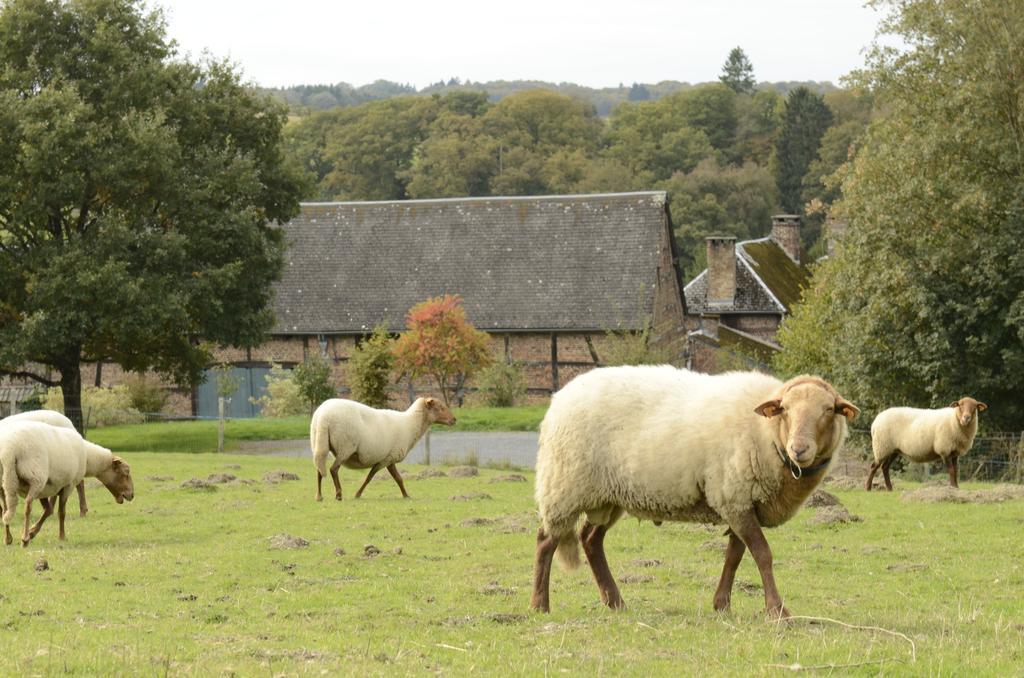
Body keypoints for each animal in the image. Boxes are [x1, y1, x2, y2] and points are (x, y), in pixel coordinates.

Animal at [1, 419, 135, 548]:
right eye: (125, 473)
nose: (132, 495)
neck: (87, 457)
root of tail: (10, 451)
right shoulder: (68, 485)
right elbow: (61, 512)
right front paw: (61, 536)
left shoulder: (52, 486)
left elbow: (49, 510)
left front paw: (33, 531)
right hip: (36, 478)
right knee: (27, 506)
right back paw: (24, 539)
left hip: (7, 482)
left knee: (5, 510)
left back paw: (8, 538)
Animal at [309, 395, 458, 501]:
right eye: (440, 407)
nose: (454, 420)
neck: (410, 424)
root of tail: (322, 417)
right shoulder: (387, 458)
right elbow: (370, 477)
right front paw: (358, 494)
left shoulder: (389, 459)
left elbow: (398, 478)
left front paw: (406, 495)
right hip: (345, 447)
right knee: (333, 469)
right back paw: (338, 494)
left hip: (319, 443)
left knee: (319, 469)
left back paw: (319, 496)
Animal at [532, 366, 860, 622]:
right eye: (785, 410)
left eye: (828, 410)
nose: (799, 449)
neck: (767, 433)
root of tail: (560, 397)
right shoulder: (734, 497)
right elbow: (763, 555)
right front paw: (777, 611)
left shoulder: (739, 502)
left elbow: (734, 556)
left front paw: (722, 605)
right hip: (564, 485)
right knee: (546, 541)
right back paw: (540, 605)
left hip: (608, 495)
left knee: (590, 540)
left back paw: (615, 602)